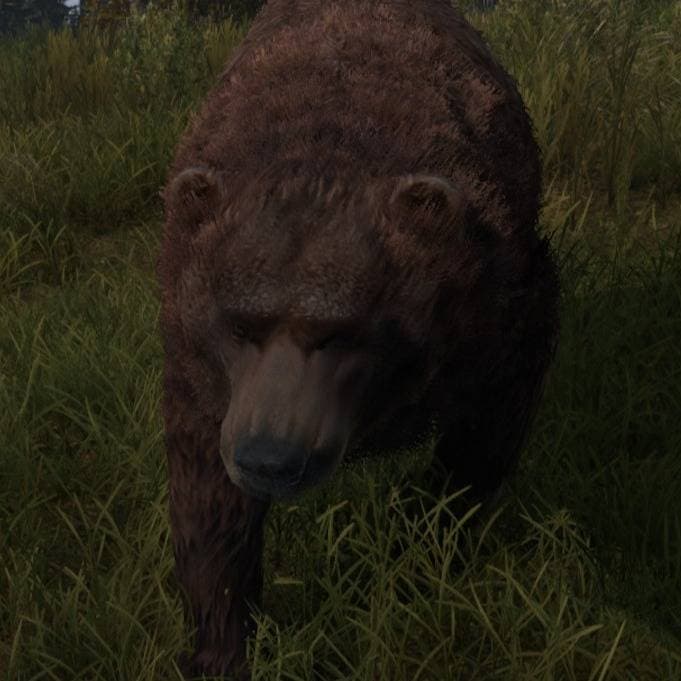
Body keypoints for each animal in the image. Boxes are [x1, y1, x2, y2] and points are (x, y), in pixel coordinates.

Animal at [157, 0, 560, 678]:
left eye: (340, 334)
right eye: (238, 324)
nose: (270, 457)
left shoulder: (495, 308)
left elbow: (480, 442)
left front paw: (422, 551)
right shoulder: (197, 366)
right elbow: (208, 500)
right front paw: (222, 644)